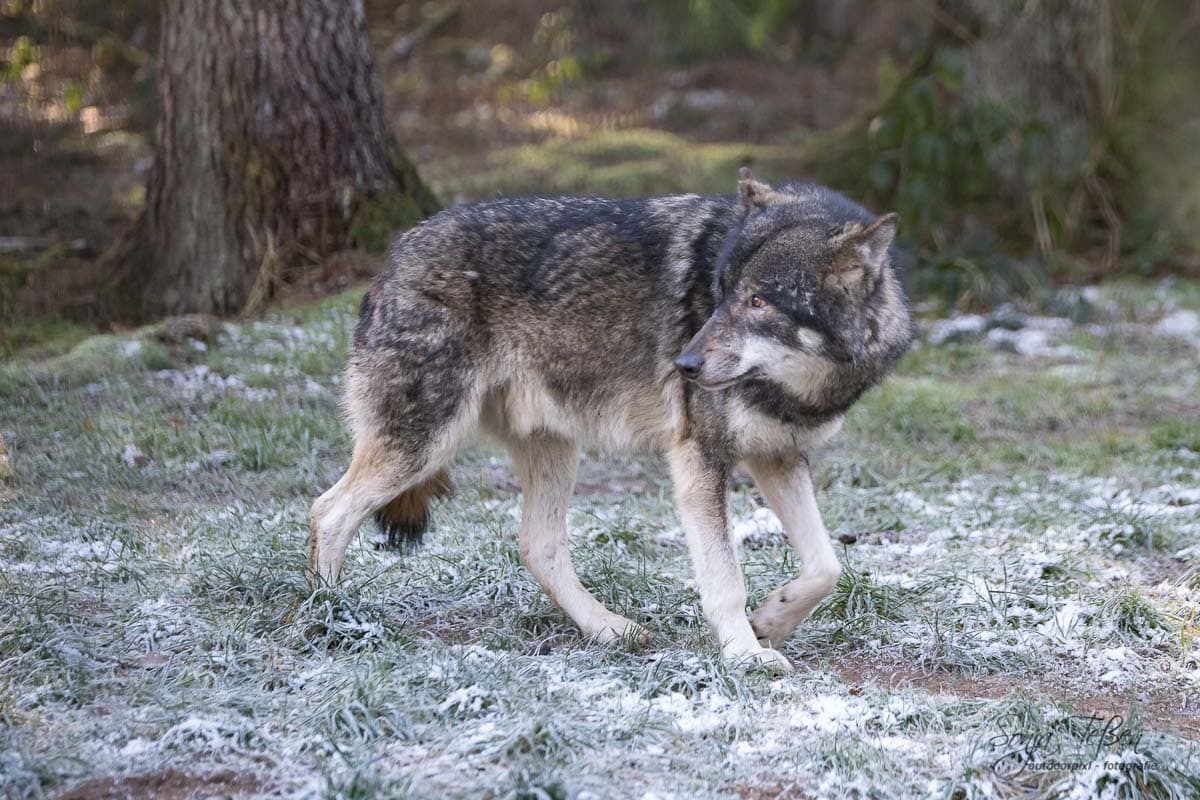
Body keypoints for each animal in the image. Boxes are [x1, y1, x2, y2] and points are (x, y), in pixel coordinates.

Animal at [307, 169, 907, 671]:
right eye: (719, 294)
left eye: (759, 301)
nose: (684, 365)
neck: (803, 387)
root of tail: (395, 253)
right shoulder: (701, 460)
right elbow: (726, 578)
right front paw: (744, 655)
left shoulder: (776, 455)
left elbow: (826, 566)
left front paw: (770, 622)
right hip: (423, 444)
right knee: (326, 512)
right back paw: (333, 617)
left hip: (549, 447)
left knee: (538, 548)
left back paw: (610, 630)